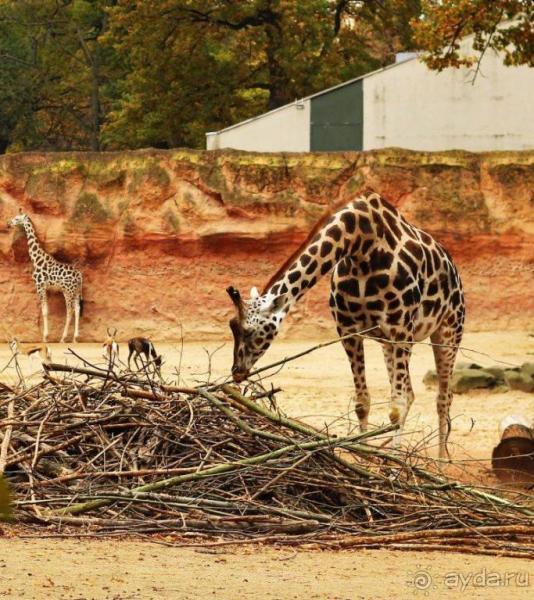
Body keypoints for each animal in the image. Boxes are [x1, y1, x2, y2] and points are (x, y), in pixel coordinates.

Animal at [7, 211, 84, 342]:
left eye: (17, 218)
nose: (9, 223)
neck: (36, 259)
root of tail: (79, 276)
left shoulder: (40, 286)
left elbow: (44, 311)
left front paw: (45, 337)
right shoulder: (46, 288)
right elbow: (46, 310)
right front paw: (46, 336)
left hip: (68, 291)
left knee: (70, 311)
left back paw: (63, 338)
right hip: (76, 291)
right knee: (77, 309)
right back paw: (75, 338)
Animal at [228, 195, 466, 458]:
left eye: (249, 331)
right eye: (231, 326)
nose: (236, 371)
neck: (361, 247)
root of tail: (454, 269)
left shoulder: (401, 327)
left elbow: (397, 405)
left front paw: (396, 463)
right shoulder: (348, 330)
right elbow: (362, 402)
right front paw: (364, 455)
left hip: (448, 329)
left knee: (443, 397)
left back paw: (442, 459)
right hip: (388, 344)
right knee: (412, 392)